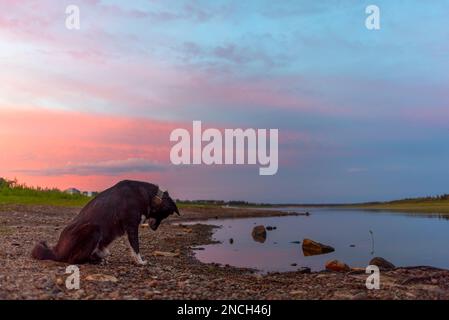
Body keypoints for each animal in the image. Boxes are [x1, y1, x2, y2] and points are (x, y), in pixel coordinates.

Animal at [31, 180, 179, 264]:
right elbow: (135, 247)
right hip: (93, 230)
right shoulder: (131, 226)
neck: (151, 197)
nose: (154, 229)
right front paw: (140, 262)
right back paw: (95, 261)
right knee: (73, 260)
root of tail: (56, 251)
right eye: (165, 215)